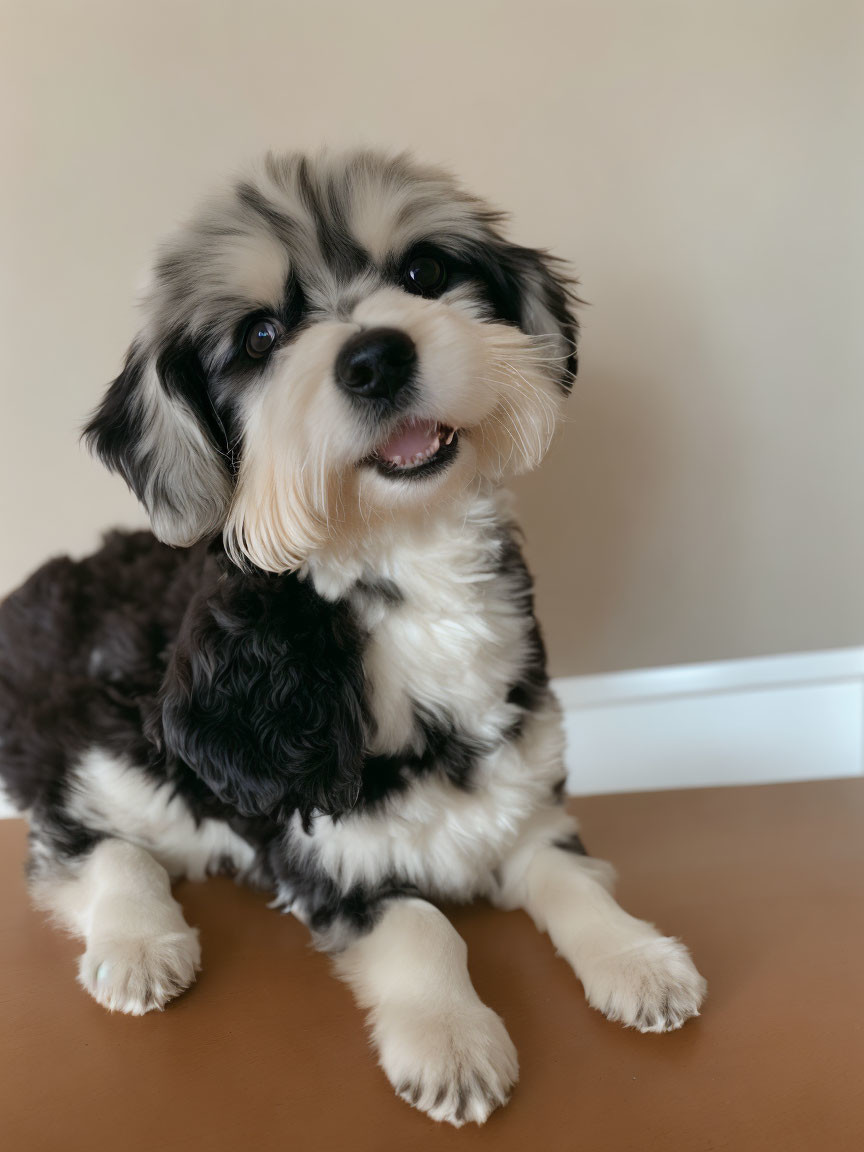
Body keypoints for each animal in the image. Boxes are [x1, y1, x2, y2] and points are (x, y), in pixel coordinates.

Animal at [0, 150, 705, 1124]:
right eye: (259, 337)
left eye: (423, 272)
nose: (376, 356)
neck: (407, 566)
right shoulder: (326, 854)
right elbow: (424, 927)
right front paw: (452, 1040)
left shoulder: (526, 808)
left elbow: (575, 882)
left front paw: (637, 959)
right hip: (111, 743)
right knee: (85, 840)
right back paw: (140, 945)